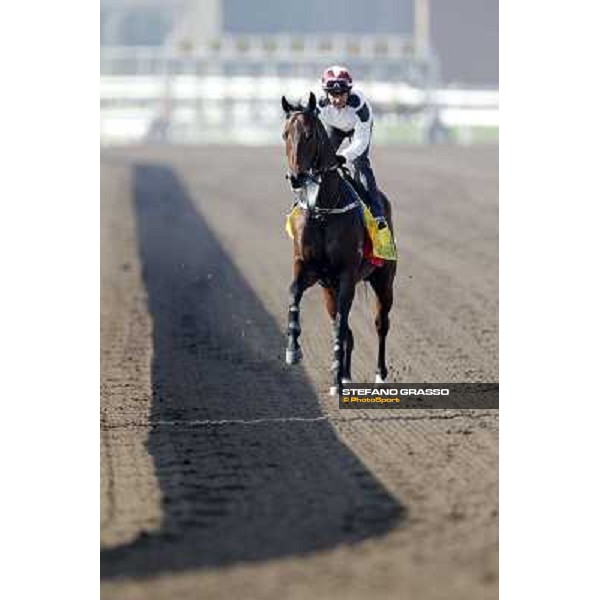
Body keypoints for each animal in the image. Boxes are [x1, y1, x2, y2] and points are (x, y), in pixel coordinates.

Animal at [282, 92, 396, 394]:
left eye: (309, 134)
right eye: (285, 134)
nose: (296, 177)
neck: (323, 208)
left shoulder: (346, 275)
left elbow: (344, 326)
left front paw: (336, 374)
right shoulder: (308, 268)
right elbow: (294, 294)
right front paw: (293, 349)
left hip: (384, 280)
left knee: (381, 324)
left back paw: (379, 375)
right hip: (328, 291)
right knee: (345, 328)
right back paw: (344, 374)